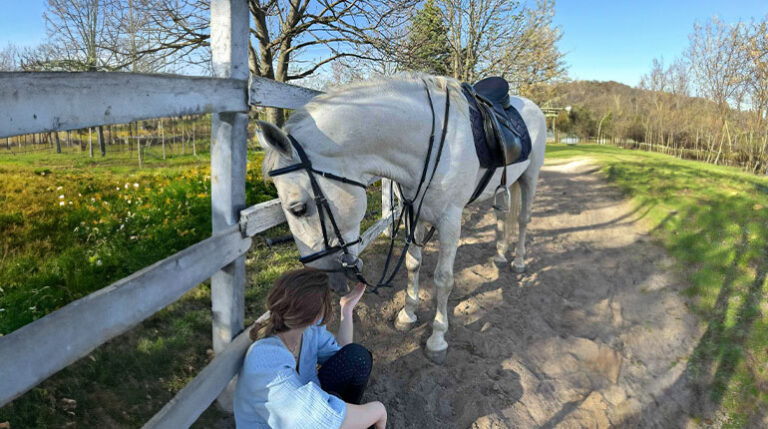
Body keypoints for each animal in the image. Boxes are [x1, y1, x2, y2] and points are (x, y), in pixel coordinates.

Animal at [258, 74, 544, 362]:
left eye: (298, 209)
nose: (327, 279)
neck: (431, 141)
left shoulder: (450, 220)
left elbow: (443, 279)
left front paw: (437, 339)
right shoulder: (415, 212)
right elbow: (412, 263)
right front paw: (408, 314)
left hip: (529, 179)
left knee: (523, 220)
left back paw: (518, 261)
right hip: (504, 187)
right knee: (502, 217)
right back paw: (500, 256)